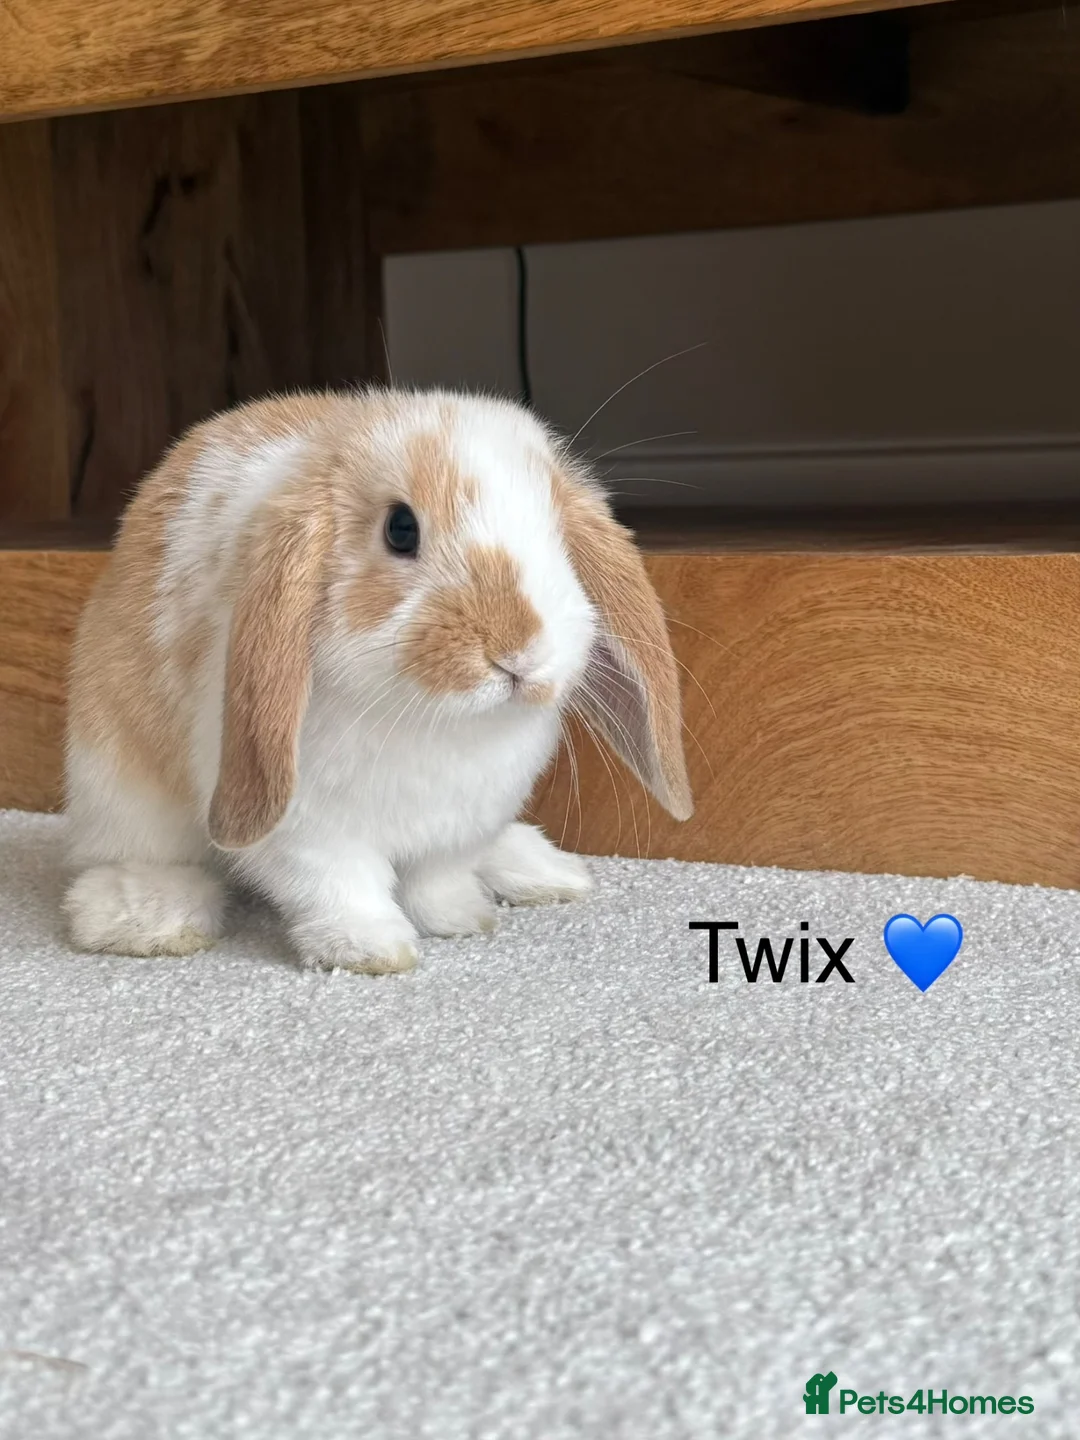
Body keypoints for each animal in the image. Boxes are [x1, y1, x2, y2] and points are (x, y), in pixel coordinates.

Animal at [63, 388, 693, 973]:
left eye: (557, 533)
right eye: (400, 529)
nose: (517, 652)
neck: (442, 723)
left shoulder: (463, 824)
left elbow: (438, 880)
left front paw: (461, 919)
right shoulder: (308, 830)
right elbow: (341, 887)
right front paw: (370, 950)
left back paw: (543, 871)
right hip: (120, 789)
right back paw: (151, 917)